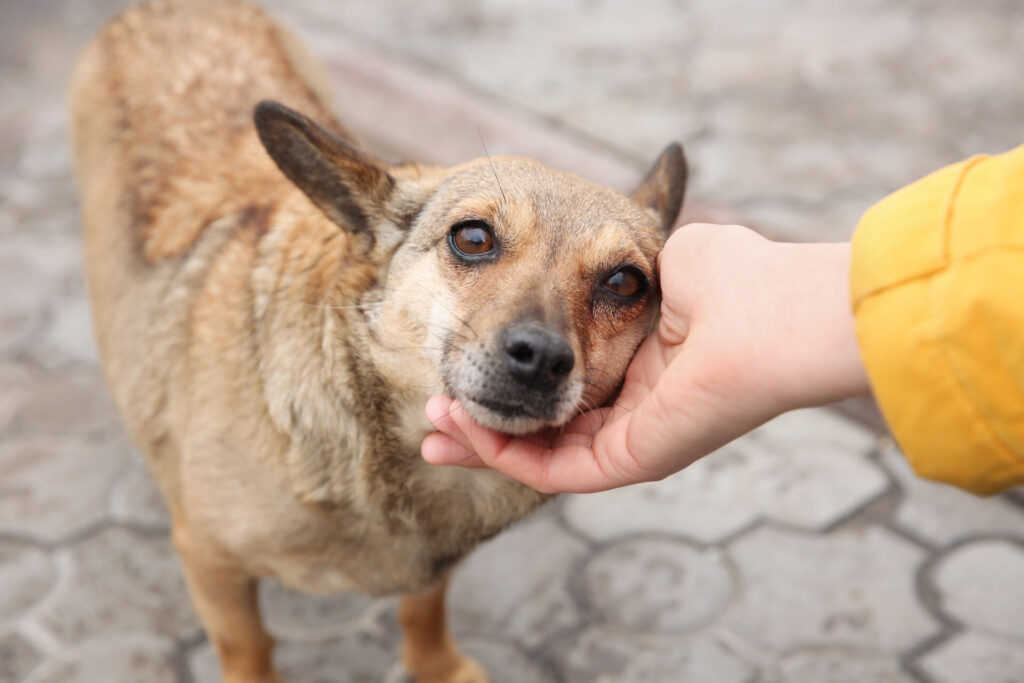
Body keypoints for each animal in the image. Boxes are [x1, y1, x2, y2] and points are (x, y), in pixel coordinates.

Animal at [68, 1, 684, 679]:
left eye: (624, 283)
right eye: (473, 238)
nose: (542, 358)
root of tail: (168, 8)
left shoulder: (433, 566)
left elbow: (424, 608)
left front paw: (436, 665)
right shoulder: (210, 562)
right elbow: (249, 647)